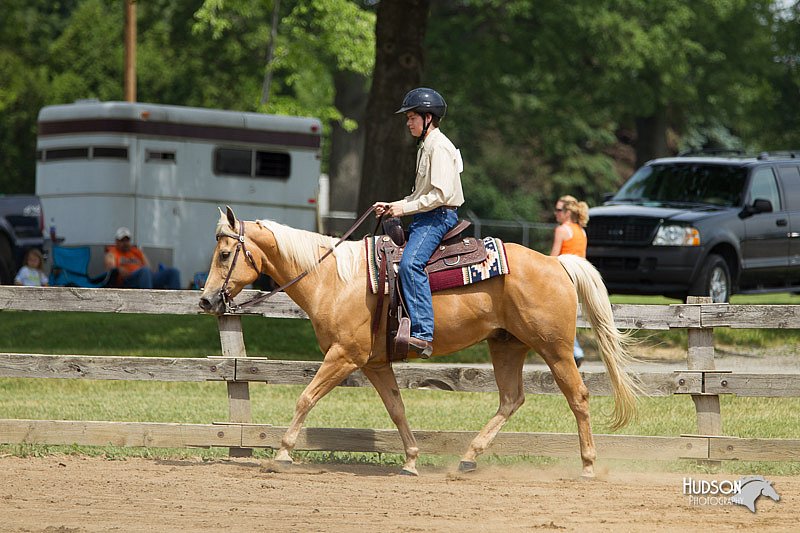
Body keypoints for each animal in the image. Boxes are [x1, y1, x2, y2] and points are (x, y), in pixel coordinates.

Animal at [202, 206, 644, 476]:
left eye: (224, 254)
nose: (206, 300)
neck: (334, 279)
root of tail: (556, 263)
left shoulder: (344, 356)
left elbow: (305, 398)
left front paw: (281, 454)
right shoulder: (375, 363)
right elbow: (397, 409)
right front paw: (412, 460)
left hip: (553, 348)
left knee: (578, 397)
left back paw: (588, 465)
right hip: (506, 344)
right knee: (511, 399)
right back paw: (467, 459)